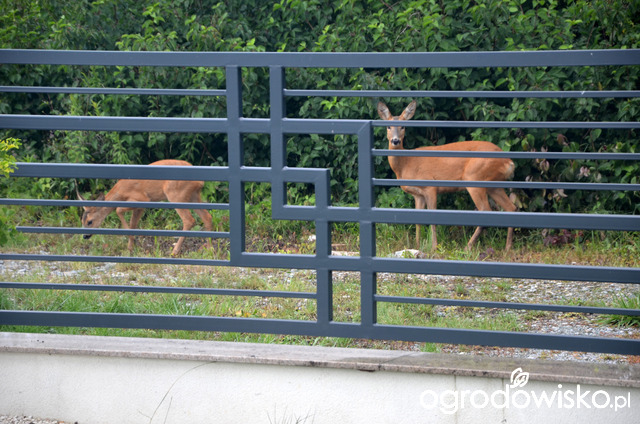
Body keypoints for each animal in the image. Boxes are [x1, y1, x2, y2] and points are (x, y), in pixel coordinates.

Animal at [77, 159, 213, 256]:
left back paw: (175, 251)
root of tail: (200, 182)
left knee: (189, 220)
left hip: (176, 195)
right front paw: (130, 248)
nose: (84, 236)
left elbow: (118, 210)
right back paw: (209, 248)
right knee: (207, 216)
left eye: (90, 221)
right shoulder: (139, 207)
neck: (120, 192)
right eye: (82, 220)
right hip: (194, 196)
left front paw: (132, 240)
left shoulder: (142, 198)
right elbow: (133, 223)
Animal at [377, 101, 517, 252]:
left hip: (474, 178)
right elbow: (418, 220)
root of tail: (509, 162)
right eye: (388, 126)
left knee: (486, 210)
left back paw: (467, 247)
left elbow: (432, 217)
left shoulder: (430, 186)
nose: (395, 141)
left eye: (403, 126)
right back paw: (508, 248)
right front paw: (417, 246)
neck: (406, 164)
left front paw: (434, 247)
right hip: (494, 185)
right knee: (511, 208)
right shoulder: (418, 194)